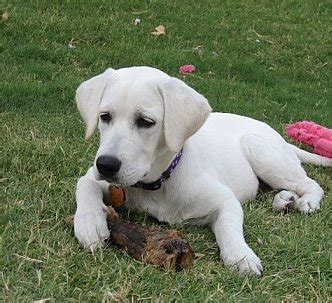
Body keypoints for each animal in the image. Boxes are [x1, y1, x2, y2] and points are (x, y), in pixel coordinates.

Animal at [74, 66, 330, 276]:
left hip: (263, 152)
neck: (160, 182)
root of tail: (277, 135)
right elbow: (84, 183)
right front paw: (89, 224)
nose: (106, 165)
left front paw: (241, 255)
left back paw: (307, 201)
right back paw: (284, 200)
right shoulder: (96, 177)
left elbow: (229, 226)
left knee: (310, 183)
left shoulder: (225, 199)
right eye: (104, 117)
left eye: (145, 121)